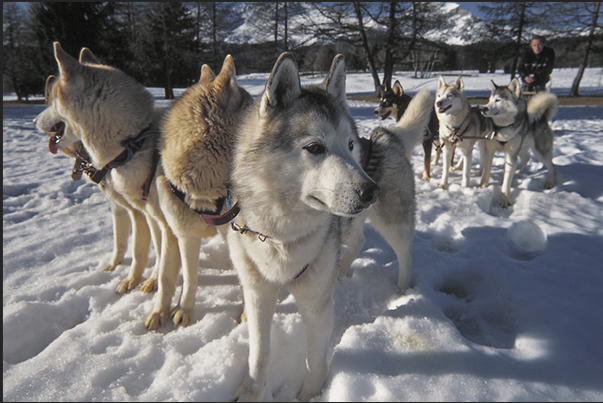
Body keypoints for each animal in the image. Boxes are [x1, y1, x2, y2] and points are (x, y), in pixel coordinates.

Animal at [34, 45, 164, 296]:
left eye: (52, 100)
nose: (34, 121)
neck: (133, 142)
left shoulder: (153, 216)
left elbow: (155, 252)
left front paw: (150, 281)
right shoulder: (131, 211)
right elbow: (128, 246)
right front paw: (123, 273)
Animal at [229, 52, 418, 400]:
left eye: (350, 145)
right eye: (315, 148)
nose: (371, 191)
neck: (280, 234)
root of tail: (387, 136)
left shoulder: (316, 306)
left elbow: (315, 361)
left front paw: (310, 395)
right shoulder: (258, 292)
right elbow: (259, 353)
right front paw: (252, 390)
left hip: (393, 223)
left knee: (404, 254)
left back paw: (402, 289)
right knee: (355, 242)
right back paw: (341, 271)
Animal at [478, 79, 560, 208]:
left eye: (498, 100)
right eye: (490, 99)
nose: (483, 109)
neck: (501, 128)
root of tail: (542, 118)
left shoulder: (510, 155)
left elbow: (506, 180)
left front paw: (505, 198)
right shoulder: (489, 150)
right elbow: (486, 171)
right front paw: (483, 186)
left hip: (540, 151)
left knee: (551, 165)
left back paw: (550, 182)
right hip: (521, 148)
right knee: (526, 158)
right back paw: (517, 170)